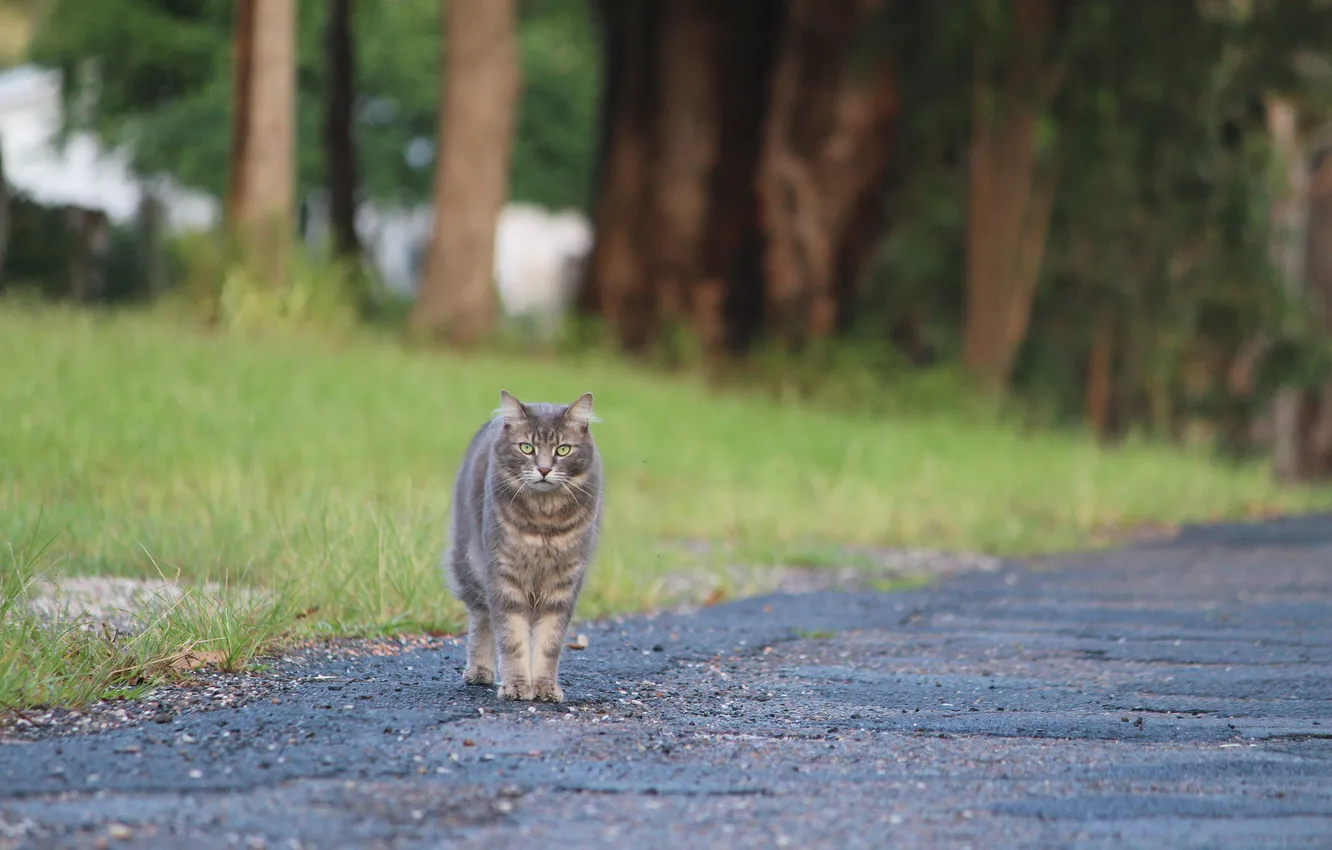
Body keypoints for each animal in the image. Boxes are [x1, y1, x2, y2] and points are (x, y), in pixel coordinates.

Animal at [442, 389, 604, 703]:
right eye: (527, 448)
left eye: (563, 450)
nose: (543, 469)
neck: (544, 520)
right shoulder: (504, 577)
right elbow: (512, 639)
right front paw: (517, 686)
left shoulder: (562, 585)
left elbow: (548, 643)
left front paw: (544, 687)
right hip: (469, 564)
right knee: (482, 619)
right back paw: (480, 671)